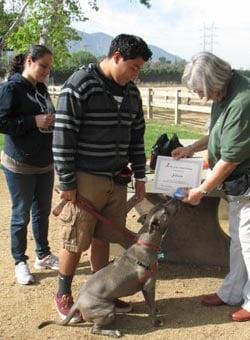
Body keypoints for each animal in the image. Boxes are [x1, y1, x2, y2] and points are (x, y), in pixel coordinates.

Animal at [38, 201, 178, 336]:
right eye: (165, 210)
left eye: (163, 204)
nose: (175, 200)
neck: (146, 245)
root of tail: (78, 302)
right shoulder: (148, 286)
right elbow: (151, 307)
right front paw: (156, 321)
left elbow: (151, 304)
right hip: (107, 310)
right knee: (94, 329)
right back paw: (113, 332)